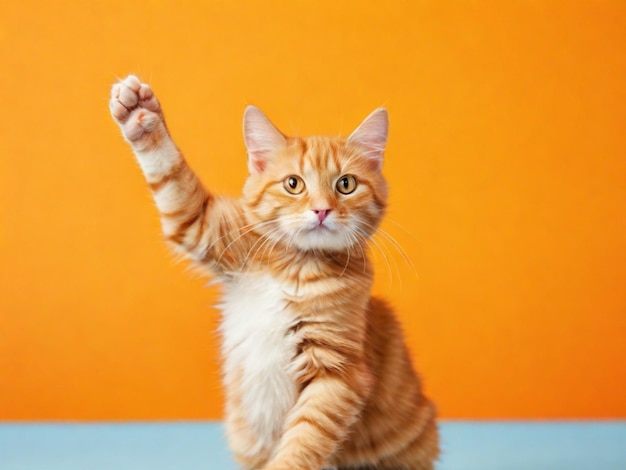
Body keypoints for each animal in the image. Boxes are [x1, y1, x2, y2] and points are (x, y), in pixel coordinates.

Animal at [108, 75, 438, 468]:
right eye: (294, 184)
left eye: (346, 184)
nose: (322, 210)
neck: (296, 268)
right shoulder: (208, 230)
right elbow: (176, 184)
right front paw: (140, 114)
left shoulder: (337, 372)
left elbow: (304, 440)